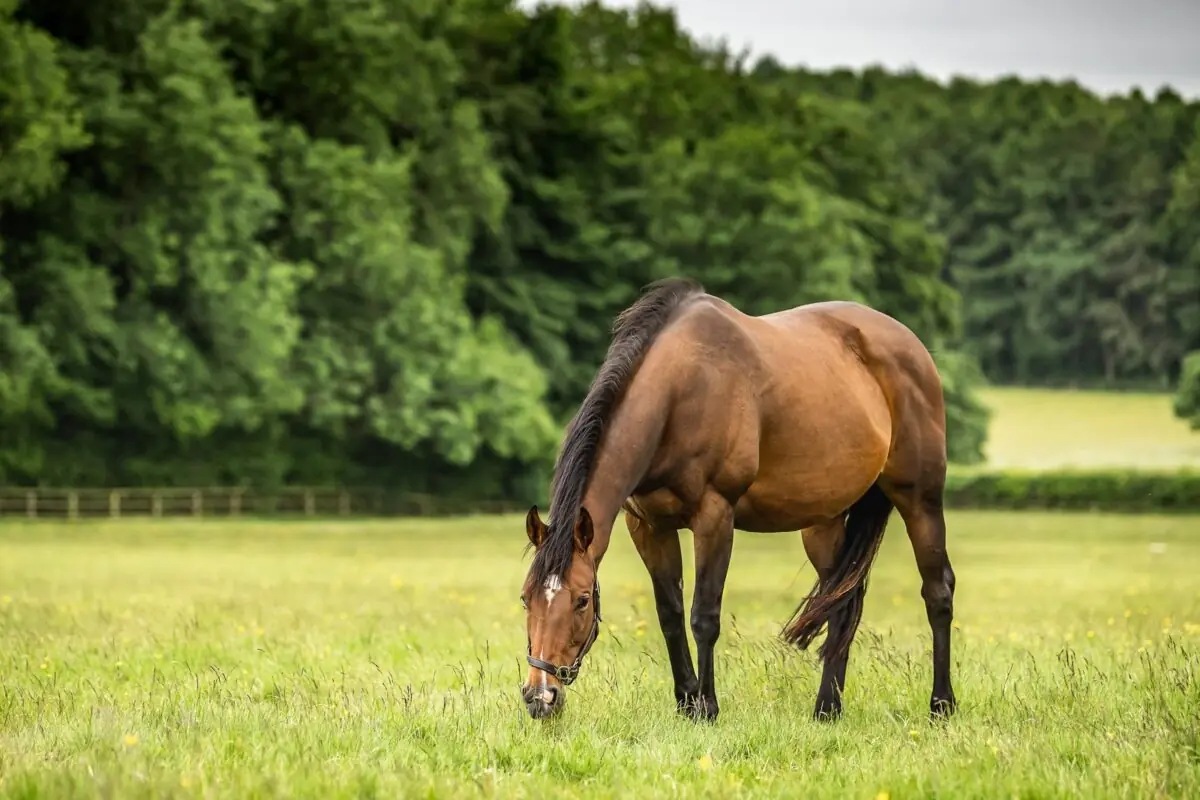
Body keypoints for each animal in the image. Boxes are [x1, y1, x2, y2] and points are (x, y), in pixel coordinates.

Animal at [518, 277, 957, 723]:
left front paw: (707, 707)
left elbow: (704, 616)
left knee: (938, 590)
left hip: (920, 499)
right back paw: (827, 708)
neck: (679, 395)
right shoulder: (648, 526)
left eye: (582, 600)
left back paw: (941, 704)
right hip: (824, 522)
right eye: (525, 597)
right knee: (843, 603)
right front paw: (686, 701)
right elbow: (670, 614)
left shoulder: (715, 517)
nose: (540, 696)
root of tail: (911, 346)